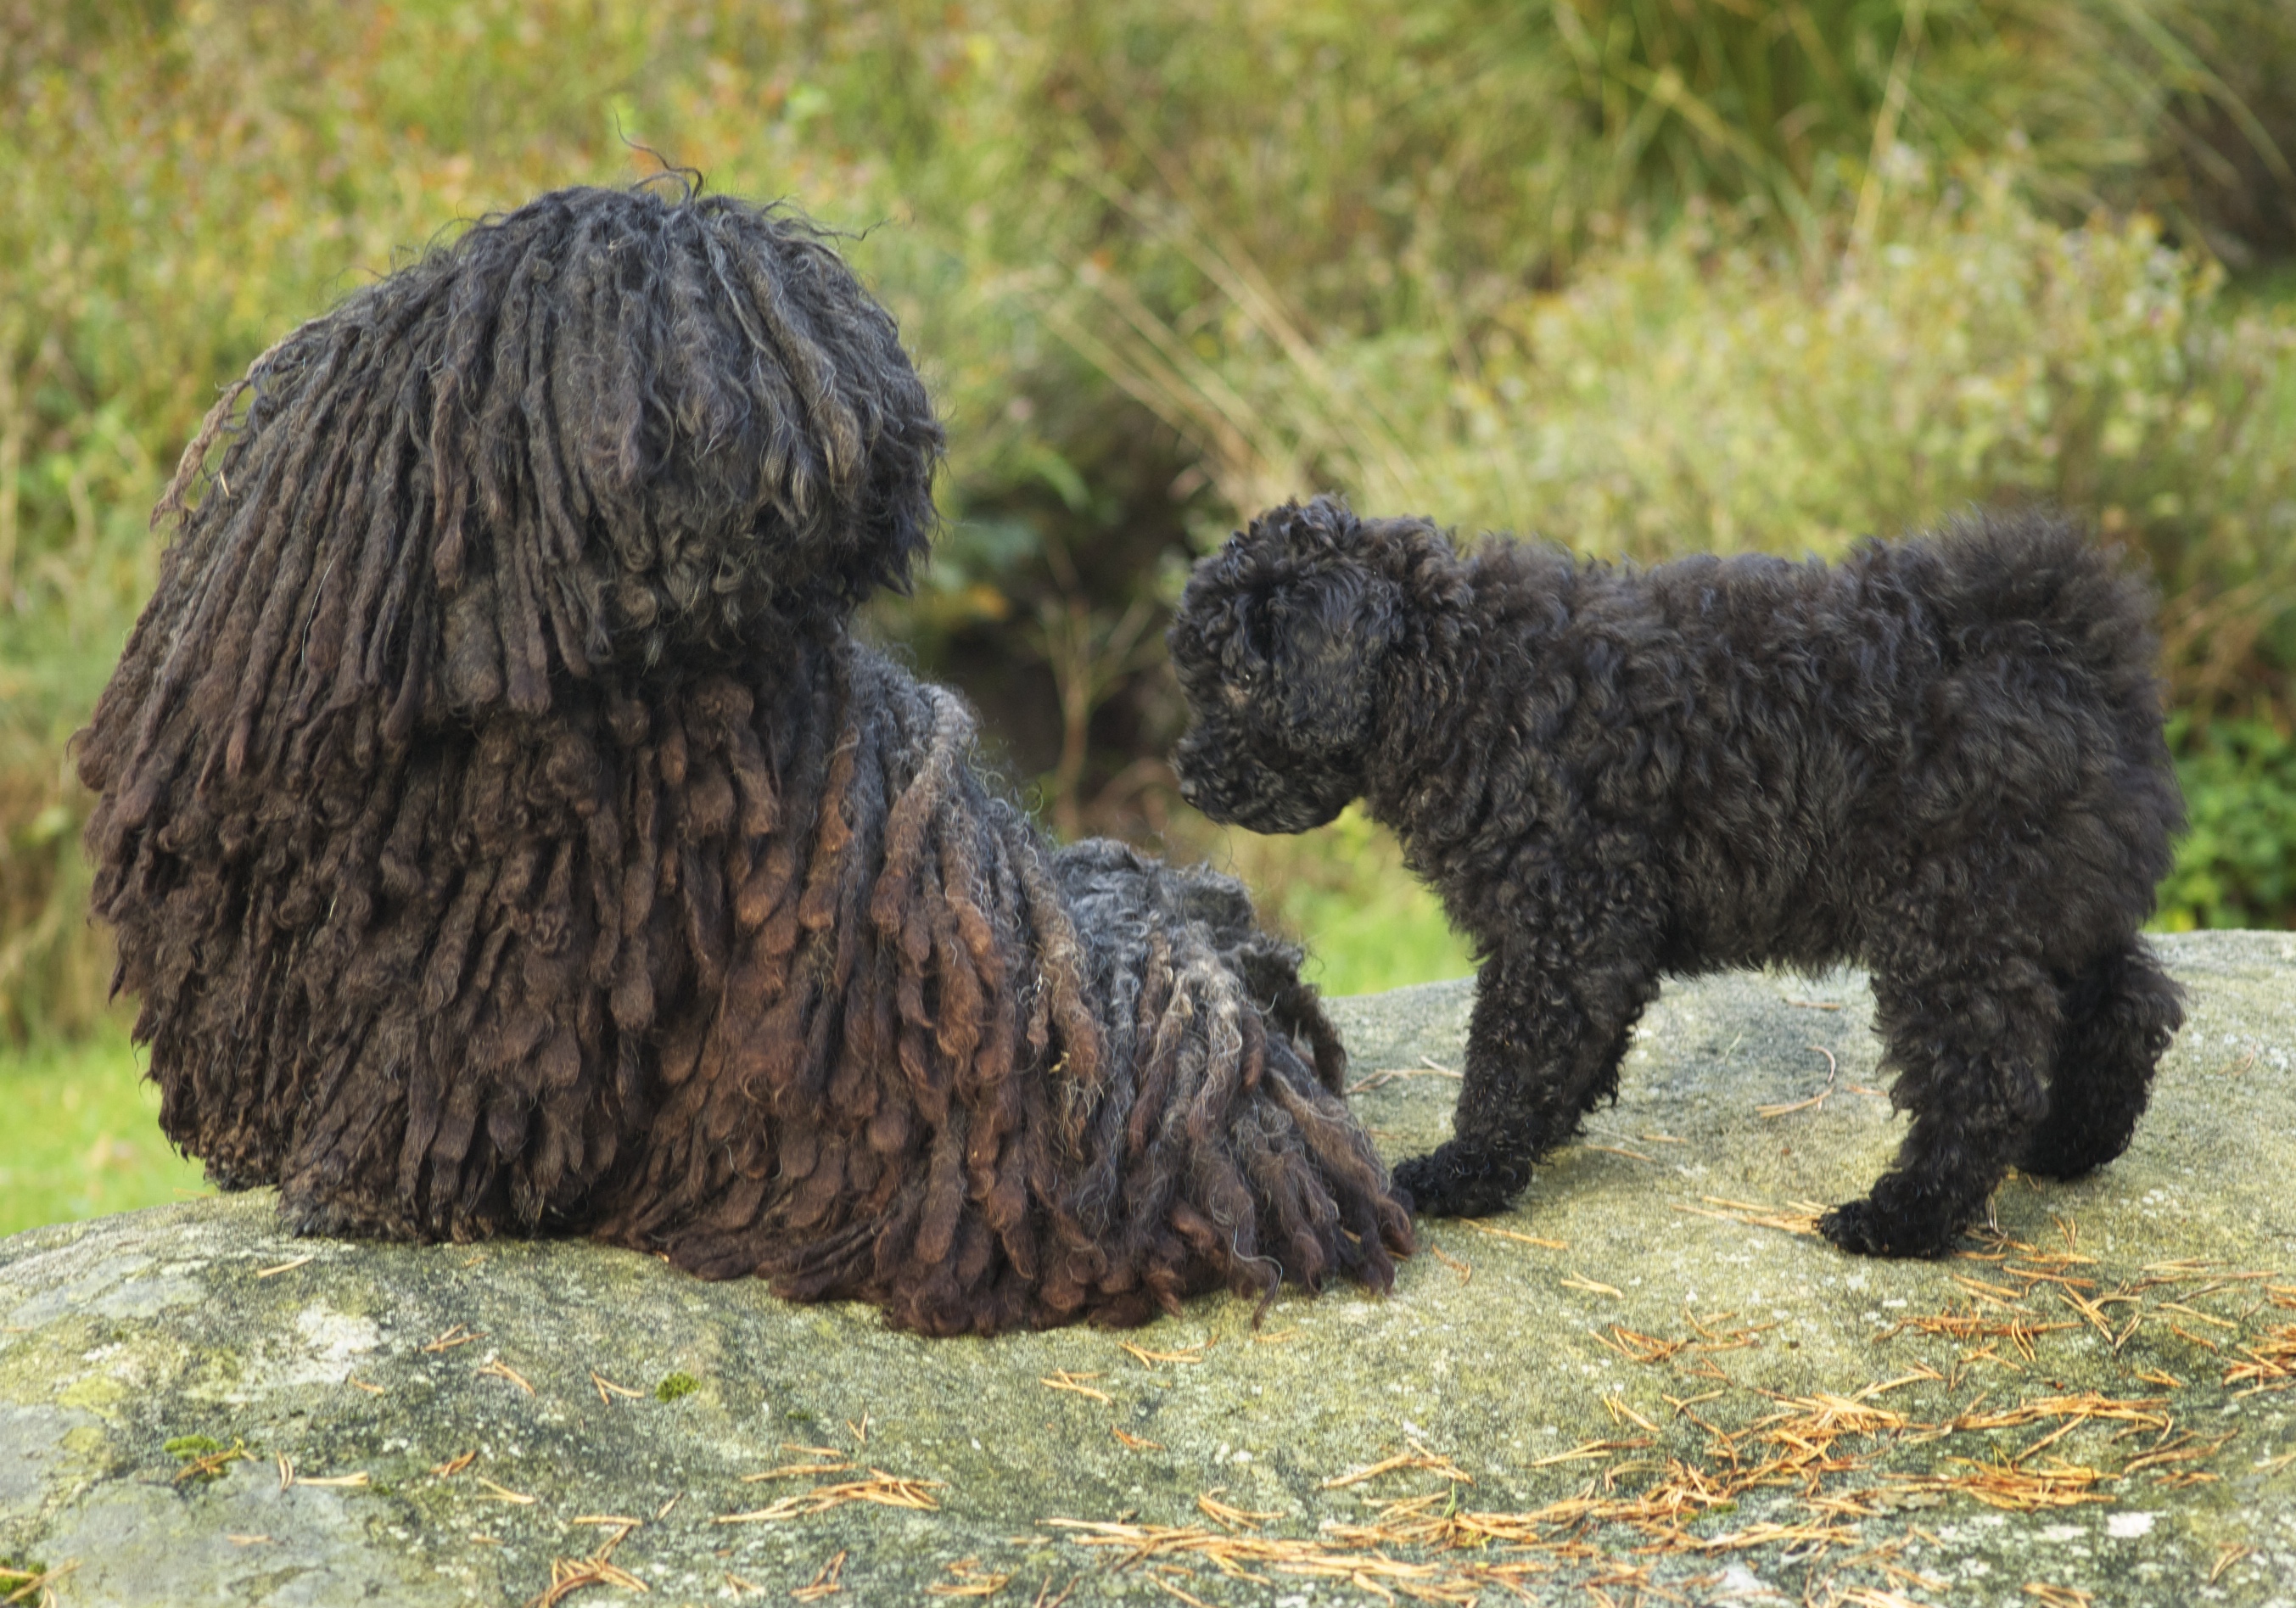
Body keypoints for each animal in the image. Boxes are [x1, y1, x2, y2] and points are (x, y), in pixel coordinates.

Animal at [1169, 496, 2184, 1256]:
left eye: (1236, 678)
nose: (1184, 777)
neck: (1464, 675)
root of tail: (2059, 641)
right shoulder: (1588, 930)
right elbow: (1564, 1051)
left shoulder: (1564, 917)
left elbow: (1512, 1052)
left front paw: (1467, 1170)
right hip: (2046, 903)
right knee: (2129, 1003)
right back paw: (2071, 1146)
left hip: (1951, 921)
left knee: (1986, 1076)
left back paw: (1903, 1218)